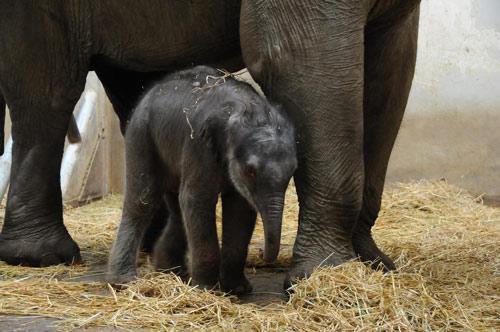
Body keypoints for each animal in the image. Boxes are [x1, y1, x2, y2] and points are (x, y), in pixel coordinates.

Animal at [107, 66, 296, 294]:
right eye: (250, 171)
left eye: (293, 170)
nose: (262, 254)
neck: (244, 108)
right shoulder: (199, 145)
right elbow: (197, 199)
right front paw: (206, 289)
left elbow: (240, 208)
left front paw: (238, 289)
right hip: (141, 135)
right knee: (142, 200)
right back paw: (124, 281)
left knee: (177, 207)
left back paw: (170, 271)